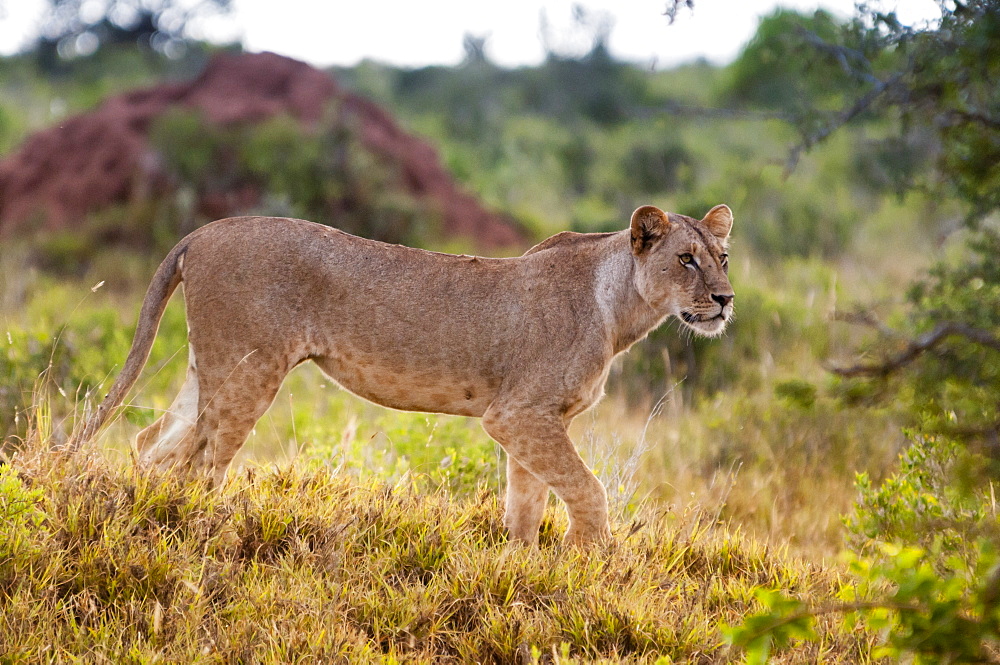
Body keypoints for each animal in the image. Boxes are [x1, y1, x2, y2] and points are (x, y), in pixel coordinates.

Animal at [76, 204, 736, 544]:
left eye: (722, 257)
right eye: (685, 259)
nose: (726, 300)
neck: (619, 306)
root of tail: (204, 228)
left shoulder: (533, 423)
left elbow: (526, 506)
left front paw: (523, 576)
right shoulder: (518, 415)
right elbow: (589, 490)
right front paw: (587, 563)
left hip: (210, 366)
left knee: (153, 443)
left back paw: (147, 520)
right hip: (249, 369)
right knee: (201, 464)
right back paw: (196, 536)